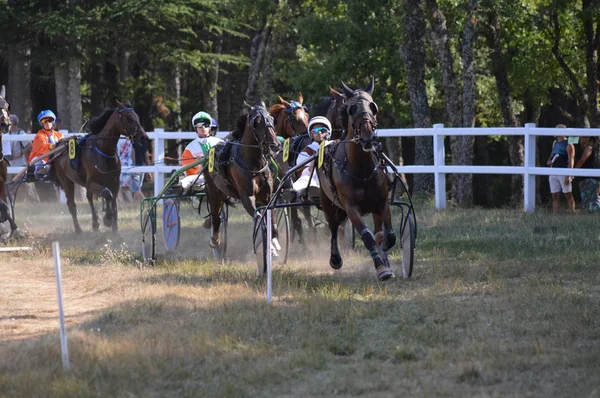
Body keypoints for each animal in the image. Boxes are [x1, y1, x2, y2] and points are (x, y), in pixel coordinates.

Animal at [52, 101, 149, 235]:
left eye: (137, 117)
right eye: (128, 117)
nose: (144, 137)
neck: (104, 150)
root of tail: (59, 145)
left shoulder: (115, 183)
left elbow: (113, 202)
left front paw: (115, 230)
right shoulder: (93, 183)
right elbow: (107, 194)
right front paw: (107, 218)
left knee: (89, 197)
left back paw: (95, 223)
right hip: (66, 181)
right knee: (72, 204)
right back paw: (79, 230)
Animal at [204, 101, 282, 253]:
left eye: (272, 119)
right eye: (257, 122)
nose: (275, 145)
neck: (254, 164)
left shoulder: (266, 197)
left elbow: (272, 221)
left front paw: (274, 241)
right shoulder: (247, 198)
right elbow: (259, 218)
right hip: (214, 192)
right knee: (215, 215)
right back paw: (215, 240)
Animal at [316, 77, 396, 282]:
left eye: (373, 107)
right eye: (351, 109)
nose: (368, 136)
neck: (361, 169)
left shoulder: (382, 202)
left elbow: (387, 235)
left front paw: (385, 258)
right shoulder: (350, 207)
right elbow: (367, 236)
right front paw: (381, 268)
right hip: (328, 203)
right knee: (334, 227)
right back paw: (335, 258)